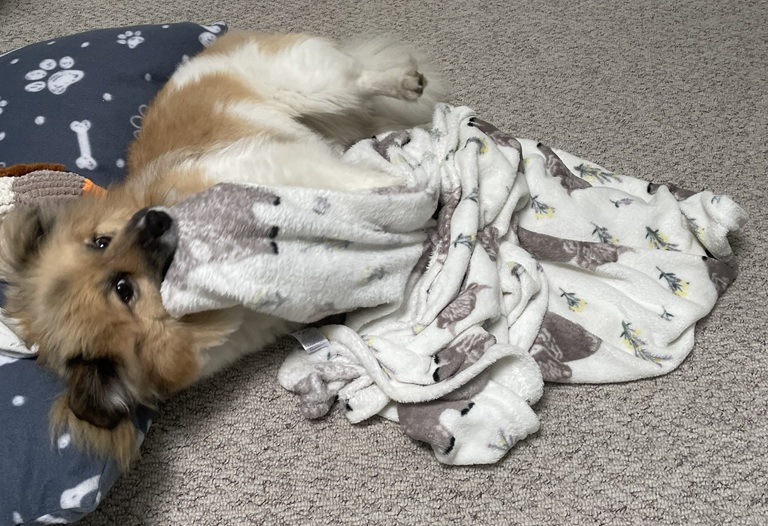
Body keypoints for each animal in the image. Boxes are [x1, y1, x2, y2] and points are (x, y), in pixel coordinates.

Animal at [0, 31, 445, 469]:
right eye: (124, 290)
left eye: (101, 241)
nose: (153, 218)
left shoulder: (274, 164)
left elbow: (361, 183)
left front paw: (416, 190)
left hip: (313, 84)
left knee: (362, 79)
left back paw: (406, 82)